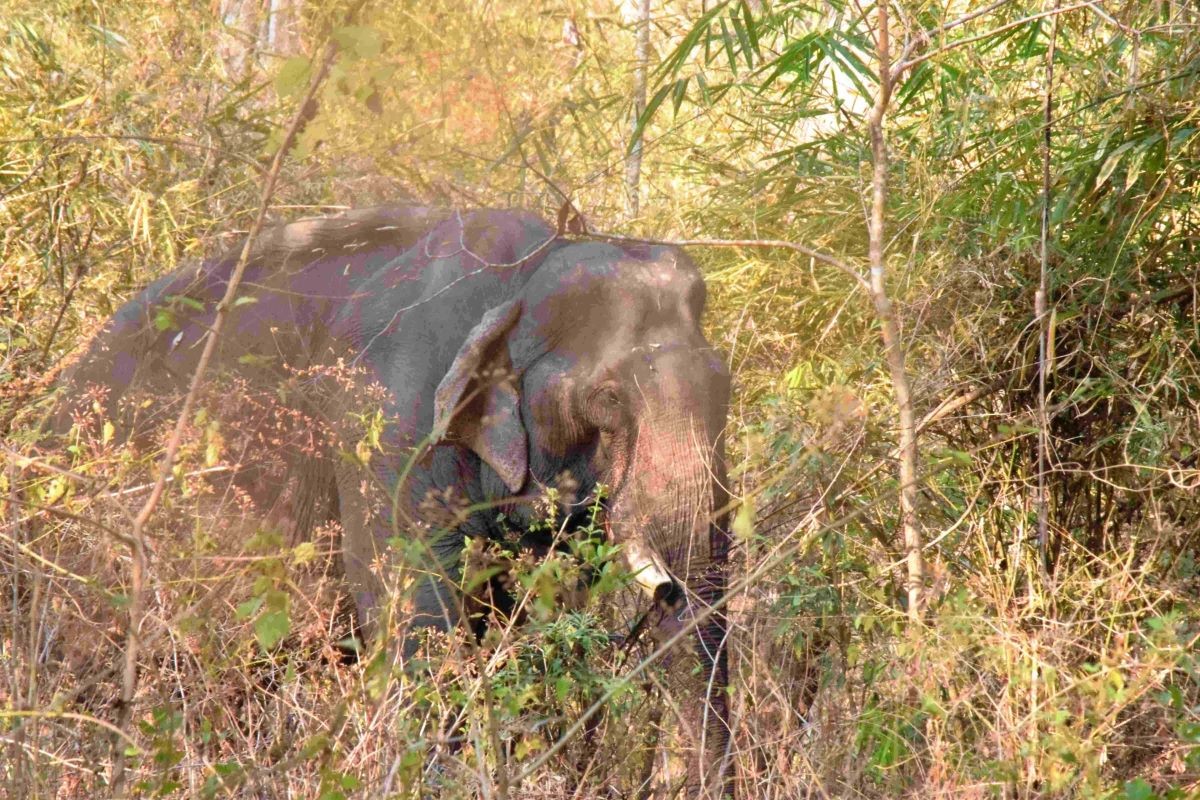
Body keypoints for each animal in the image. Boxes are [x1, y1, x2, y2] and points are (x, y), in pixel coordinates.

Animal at [57, 205, 734, 797]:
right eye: (609, 400)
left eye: (727, 385)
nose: (665, 592)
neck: (520, 276)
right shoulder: (384, 426)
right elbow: (419, 621)